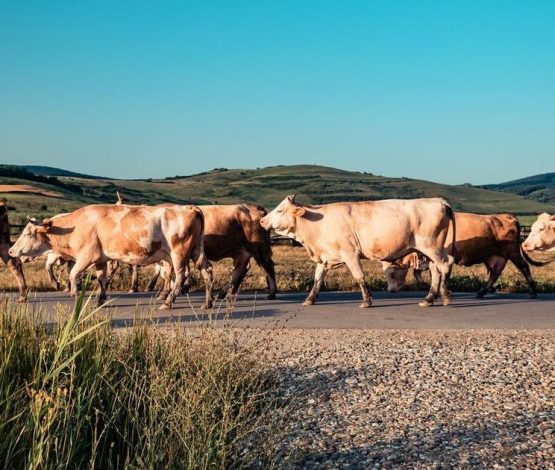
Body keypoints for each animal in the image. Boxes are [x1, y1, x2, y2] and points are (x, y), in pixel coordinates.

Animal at [8, 203, 213, 308]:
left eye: (28, 233)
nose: (10, 251)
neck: (75, 225)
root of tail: (190, 208)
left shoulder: (86, 256)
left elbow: (73, 274)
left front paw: (75, 292)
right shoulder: (100, 259)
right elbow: (101, 279)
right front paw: (100, 299)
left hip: (179, 253)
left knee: (180, 275)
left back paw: (169, 301)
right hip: (197, 250)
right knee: (207, 270)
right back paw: (208, 303)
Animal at [148, 204, 278, 300]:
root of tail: (255, 208)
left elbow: (167, 273)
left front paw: (168, 292)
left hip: (259, 248)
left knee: (268, 266)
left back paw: (271, 293)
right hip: (242, 251)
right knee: (241, 269)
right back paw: (225, 293)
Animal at [260, 196, 456, 308]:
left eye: (280, 209)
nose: (262, 221)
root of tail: (439, 201)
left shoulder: (350, 253)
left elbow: (359, 276)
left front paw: (367, 300)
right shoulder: (324, 258)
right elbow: (317, 279)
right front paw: (310, 299)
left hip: (431, 246)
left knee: (445, 264)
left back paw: (445, 295)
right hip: (429, 250)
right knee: (436, 270)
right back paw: (429, 299)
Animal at [382, 213, 544, 298]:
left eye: (391, 272)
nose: (390, 291)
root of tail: (506, 216)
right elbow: (418, 274)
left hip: (512, 251)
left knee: (524, 267)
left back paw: (533, 291)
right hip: (496, 256)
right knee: (494, 273)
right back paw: (481, 292)